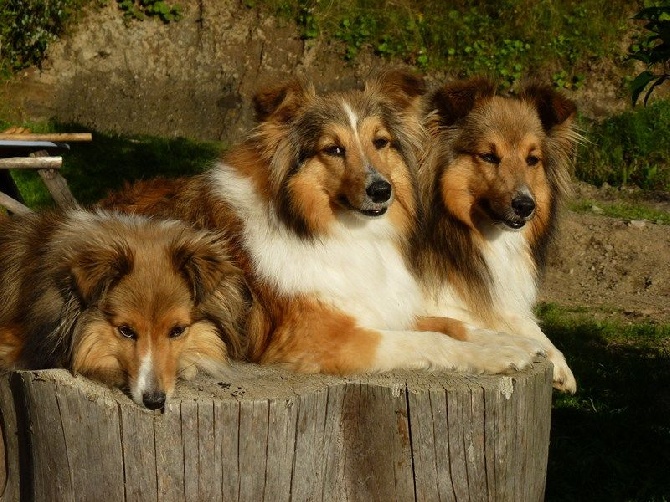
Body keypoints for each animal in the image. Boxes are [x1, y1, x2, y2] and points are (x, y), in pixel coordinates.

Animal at [100, 69, 548, 376]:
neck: (335, 232)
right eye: (332, 149)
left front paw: (512, 343)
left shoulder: (380, 304)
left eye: (380, 142)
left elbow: (453, 323)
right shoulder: (323, 337)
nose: (381, 190)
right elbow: (431, 340)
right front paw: (496, 353)